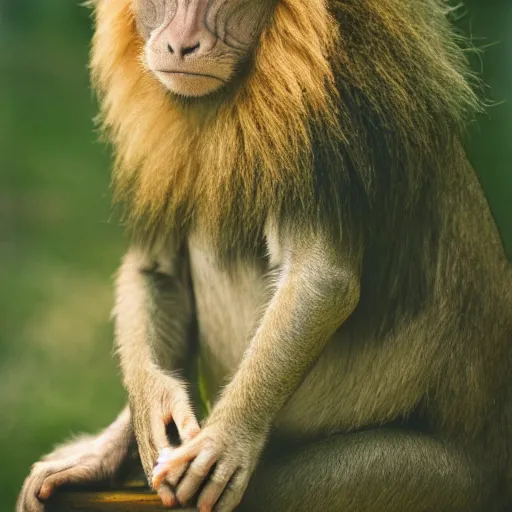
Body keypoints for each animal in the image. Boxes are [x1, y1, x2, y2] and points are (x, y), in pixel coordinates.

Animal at [16, 0, 512, 510]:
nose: (180, 45)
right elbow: (154, 269)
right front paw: (140, 420)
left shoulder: (325, 120)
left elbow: (321, 279)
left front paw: (224, 443)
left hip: (424, 479)